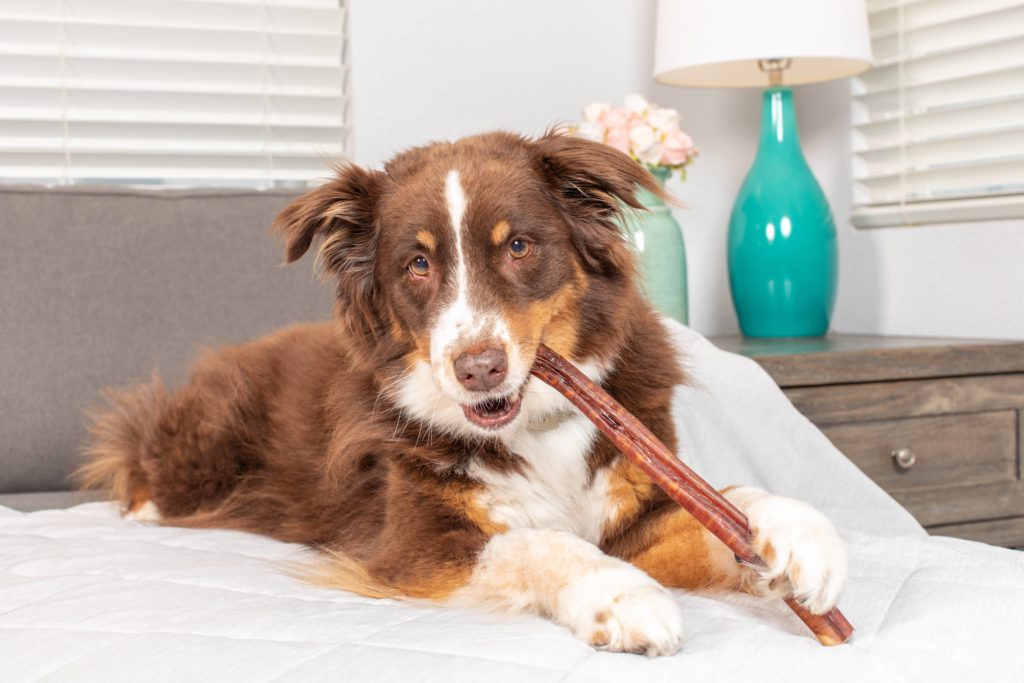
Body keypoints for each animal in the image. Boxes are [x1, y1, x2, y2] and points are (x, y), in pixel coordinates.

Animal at [79, 129, 843, 655]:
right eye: (417, 264)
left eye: (518, 246)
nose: (478, 368)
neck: (535, 428)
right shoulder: (414, 546)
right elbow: (541, 543)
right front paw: (623, 597)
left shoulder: (635, 515)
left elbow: (723, 505)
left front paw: (799, 536)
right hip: (205, 441)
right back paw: (145, 509)